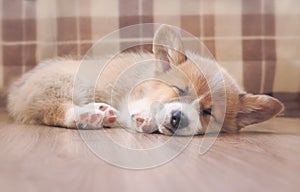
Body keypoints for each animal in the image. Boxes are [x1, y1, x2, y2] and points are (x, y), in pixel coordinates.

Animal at [7, 25, 284, 136]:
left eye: (208, 112)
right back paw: (88, 114)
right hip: (67, 83)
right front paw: (144, 118)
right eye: (178, 89)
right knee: (52, 110)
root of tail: (17, 90)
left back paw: (104, 113)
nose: (178, 118)